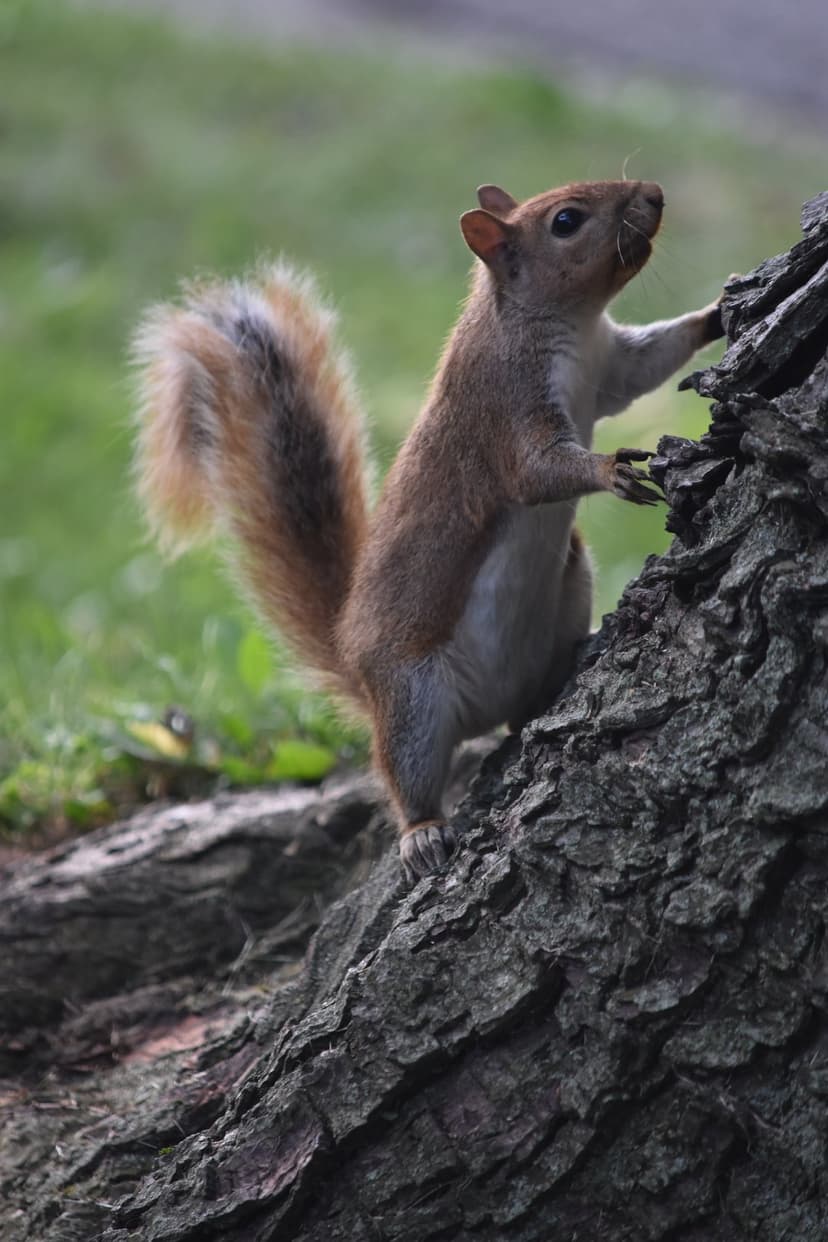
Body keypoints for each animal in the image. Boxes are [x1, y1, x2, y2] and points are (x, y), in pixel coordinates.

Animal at [133, 178, 725, 884]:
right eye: (566, 221)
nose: (655, 193)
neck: (564, 325)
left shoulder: (612, 368)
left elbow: (653, 360)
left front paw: (721, 310)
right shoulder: (504, 410)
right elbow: (539, 472)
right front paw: (609, 470)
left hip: (569, 583)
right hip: (413, 698)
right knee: (404, 773)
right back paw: (421, 832)